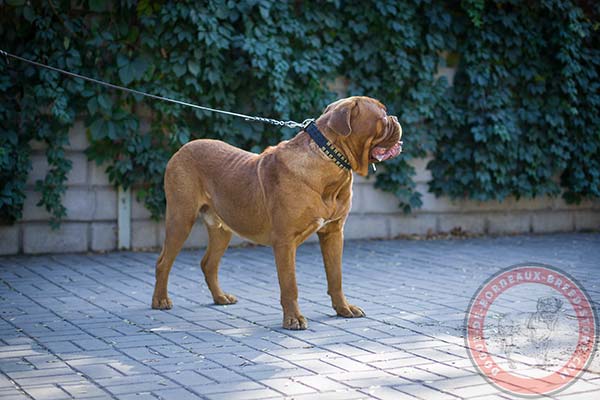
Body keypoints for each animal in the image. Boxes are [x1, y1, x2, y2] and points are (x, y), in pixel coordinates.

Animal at [152, 95, 400, 330]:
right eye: (382, 116)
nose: (396, 118)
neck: (330, 159)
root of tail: (183, 148)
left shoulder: (333, 233)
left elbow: (335, 276)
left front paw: (343, 308)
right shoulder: (284, 241)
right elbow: (290, 284)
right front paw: (293, 319)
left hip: (222, 228)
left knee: (208, 263)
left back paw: (220, 297)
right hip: (181, 218)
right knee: (163, 261)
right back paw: (160, 300)